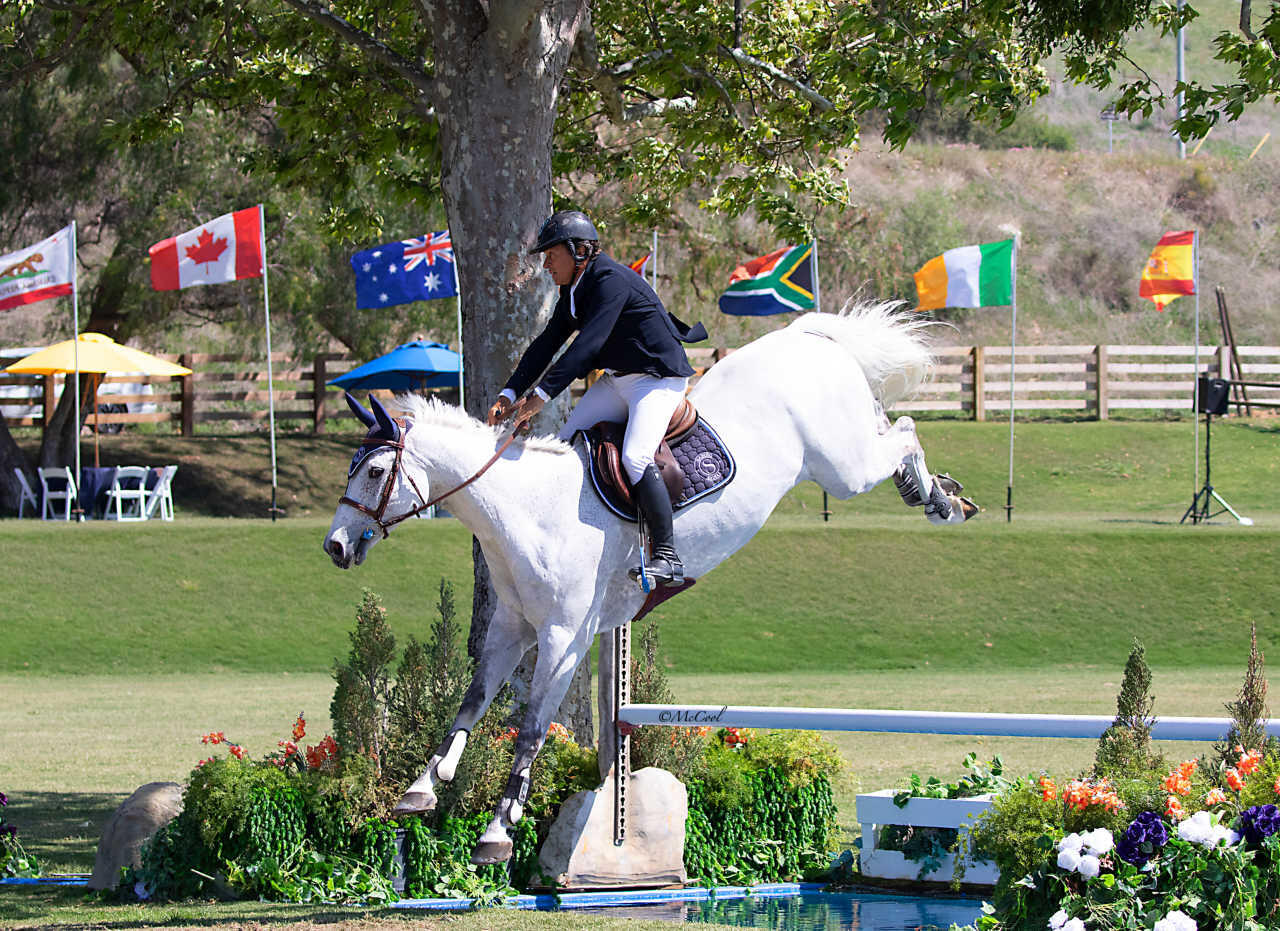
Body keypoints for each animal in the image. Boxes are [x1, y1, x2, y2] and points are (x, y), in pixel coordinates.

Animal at [320, 306, 967, 865]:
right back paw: (938, 491)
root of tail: (809, 336)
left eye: (374, 471)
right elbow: (471, 703)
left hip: (843, 467)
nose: (335, 547)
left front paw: (498, 832)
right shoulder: (511, 628)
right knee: (890, 425)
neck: (526, 509)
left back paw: (940, 500)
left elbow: (530, 729)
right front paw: (422, 787)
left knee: (904, 430)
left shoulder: (564, 638)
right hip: (846, 450)